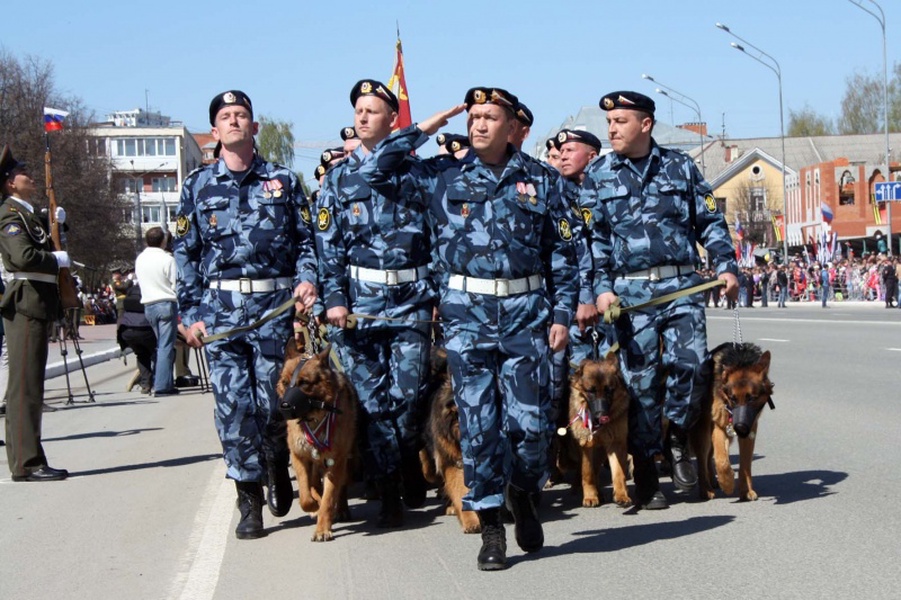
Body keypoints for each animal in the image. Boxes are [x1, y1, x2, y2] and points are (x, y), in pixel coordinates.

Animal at [276, 340, 356, 540]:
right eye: (285, 383)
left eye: (304, 383)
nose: (284, 407)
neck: (314, 420)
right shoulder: (299, 458)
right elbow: (305, 496)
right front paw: (313, 506)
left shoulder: (335, 462)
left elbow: (328, 499)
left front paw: (322, 528)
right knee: (313, 484)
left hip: (346, 462)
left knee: (341, 487)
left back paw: (341, 509)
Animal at [568, 354, 628, 508]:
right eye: (591, 391)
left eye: (609, 390)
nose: (602, 416)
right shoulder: (587, 445)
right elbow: (587, 472)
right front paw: (590, 496)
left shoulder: (615, 443)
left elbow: (618, 472)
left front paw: (621, 495)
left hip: (601, 452)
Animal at [688, 342, 772, 502]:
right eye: (733, 398)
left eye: (751, 399)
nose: (739, 427)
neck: (741, 359)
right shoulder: (721, 428)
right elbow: (722, 461)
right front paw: (727, 484)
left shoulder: (750, 431)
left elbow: (745, 464)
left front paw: (746, 491)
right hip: (703, 432)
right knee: (702, 460)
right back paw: (706, 489)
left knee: (708, 457)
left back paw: (712, 480)